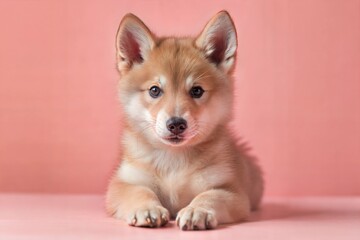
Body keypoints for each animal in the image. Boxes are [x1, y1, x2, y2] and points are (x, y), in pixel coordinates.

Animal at [105, 9, 262, 231]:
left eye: (197, 91)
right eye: (154, 90)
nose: (176, 124)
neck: (173, 162)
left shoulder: (231, 190)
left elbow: (209, 196)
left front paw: (197, 210)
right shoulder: (123, 183)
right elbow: (139, 192)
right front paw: (147, 208)